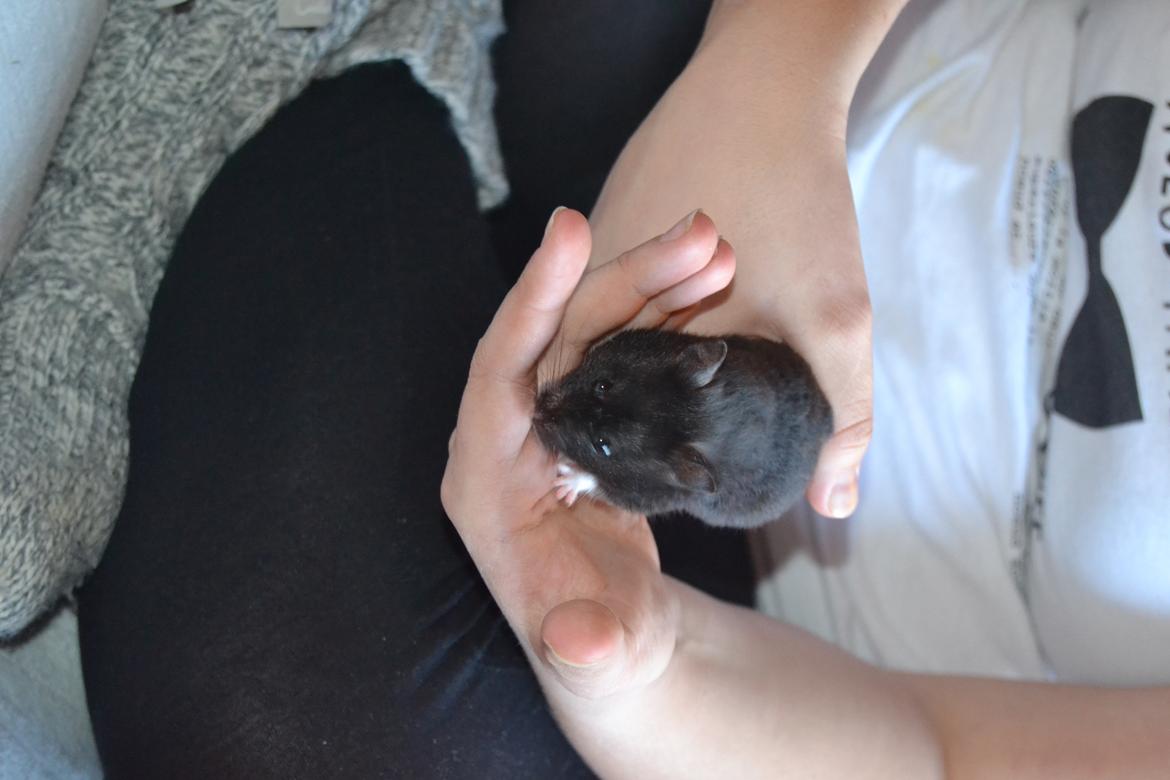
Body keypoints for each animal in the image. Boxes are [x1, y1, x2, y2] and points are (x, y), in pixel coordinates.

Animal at [533, 329, 833, 528]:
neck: (707, 423)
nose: (536, 413)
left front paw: (563, 479)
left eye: (602, 445)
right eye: (603, 384)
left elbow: (594, 482)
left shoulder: (643, 497)